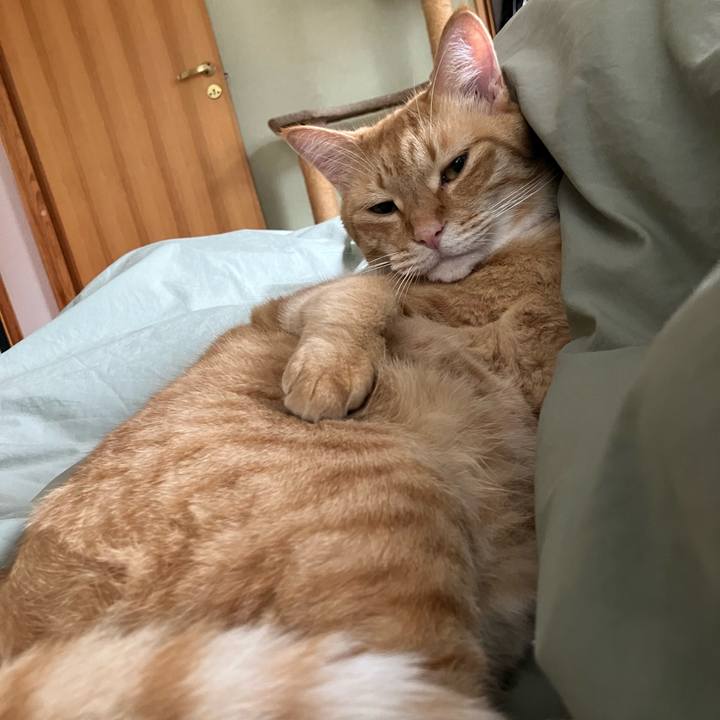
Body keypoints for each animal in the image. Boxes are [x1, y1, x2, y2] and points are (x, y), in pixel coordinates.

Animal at [0, 9, 568, 720]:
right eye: (383, 207)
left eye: (456, 168)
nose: (429, 235)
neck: (506, 272)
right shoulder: (309, 301)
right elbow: (363, 295)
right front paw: (329, 373)